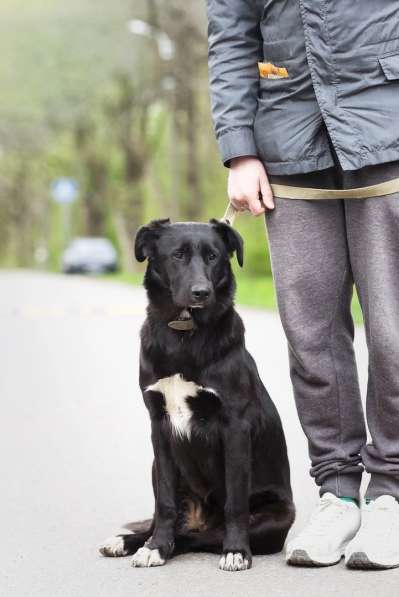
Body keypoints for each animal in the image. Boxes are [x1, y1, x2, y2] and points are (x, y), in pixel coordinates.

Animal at [98, 218, 296, 568]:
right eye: (177, 255)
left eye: (213, 256)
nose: (201, 292)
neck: (184, 334)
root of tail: (199, 520)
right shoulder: (159, 426)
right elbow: (164, 504)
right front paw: (155, 546)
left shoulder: (234, 427)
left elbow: (235, 503)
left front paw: (236, 551)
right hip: (154, 466)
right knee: (163, 519)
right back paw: (133, 541)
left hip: (276, 515)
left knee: (201, 537)